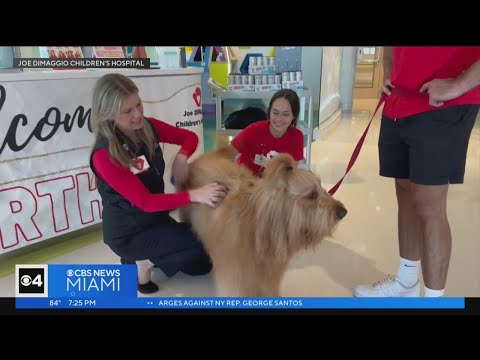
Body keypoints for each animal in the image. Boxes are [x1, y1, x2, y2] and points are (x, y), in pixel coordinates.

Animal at [178, 148, 346, 296]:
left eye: (322, 188)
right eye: (311, 195)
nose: (343, 212)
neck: (263, 226)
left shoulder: (268, 275)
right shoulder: (236, 275)